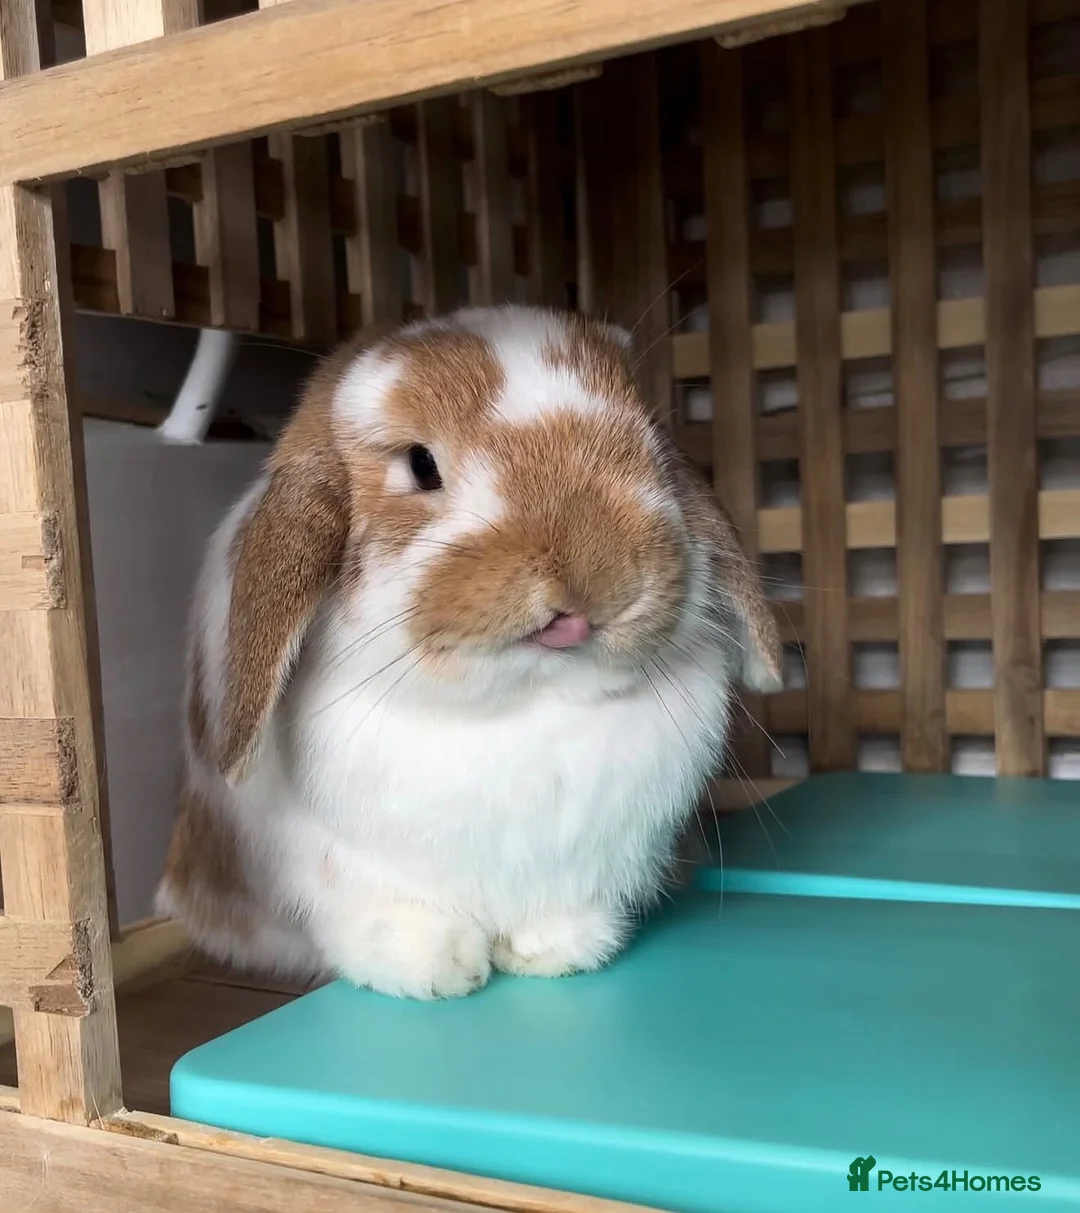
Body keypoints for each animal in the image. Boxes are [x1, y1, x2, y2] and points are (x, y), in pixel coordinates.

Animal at [155, 305, 782, 1000]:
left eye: (650, 441)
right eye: (420, 465)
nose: (587, 588)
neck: (525, 709)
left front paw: (559, 949)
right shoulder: (351, 870)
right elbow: (389, 916)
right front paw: (436, 969)